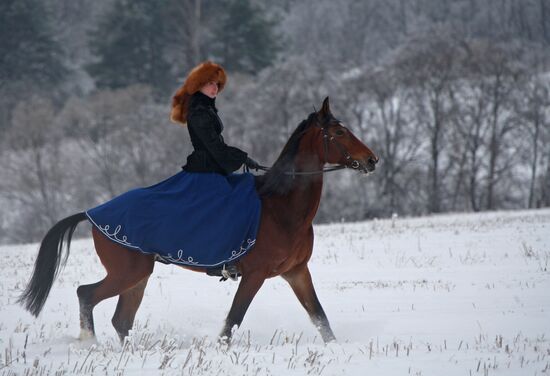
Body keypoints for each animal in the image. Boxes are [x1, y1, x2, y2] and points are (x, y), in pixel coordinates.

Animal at [17, 97, 380, 344]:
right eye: (339, 132)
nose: (372, 160)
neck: (281, 208)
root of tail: (93, 213)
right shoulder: (255, 275)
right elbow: (232, 322)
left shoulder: (296, 272)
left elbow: (321, 319)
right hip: (126, 272)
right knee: (86, 295)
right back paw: (89, 343)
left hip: (138, 276)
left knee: (121, 320)